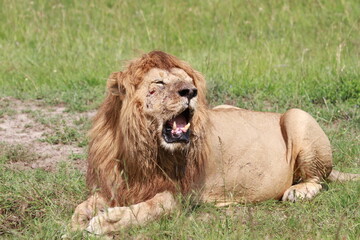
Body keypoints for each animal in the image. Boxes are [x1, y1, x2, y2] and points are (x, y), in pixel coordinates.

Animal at [71, 50, 360, 234]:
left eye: (187, 81)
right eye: (159, 82)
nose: (190, 92)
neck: (141, 148)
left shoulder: (183, 194)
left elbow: (153, 207)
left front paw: (107, 221)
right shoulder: (116, 185)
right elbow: (84, 204)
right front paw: (76, 222)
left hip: (297, 116)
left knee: (318, 179)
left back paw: (298, 191)